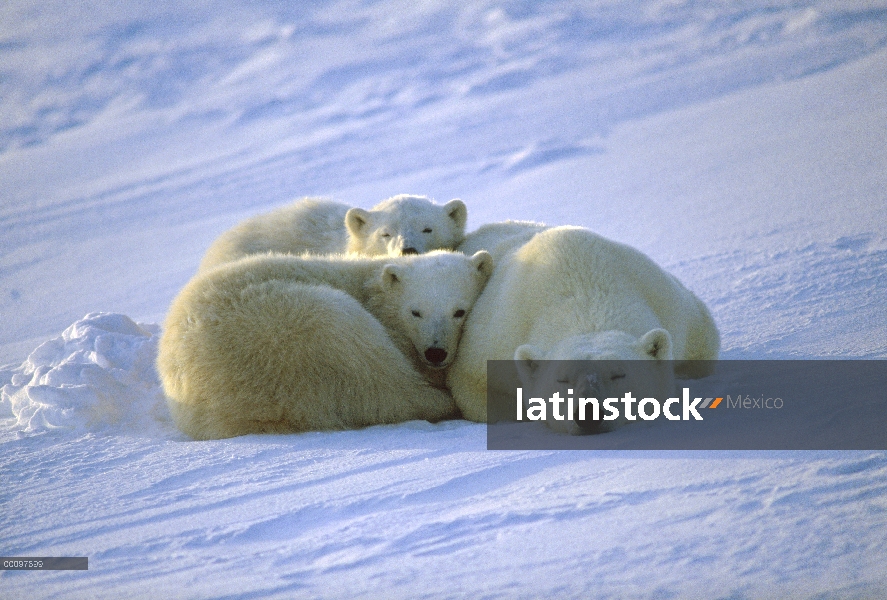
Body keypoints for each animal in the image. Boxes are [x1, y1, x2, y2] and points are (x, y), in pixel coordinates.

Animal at [450, 224, 720, 426]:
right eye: (562, 380)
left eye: (619, 374)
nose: (589, 413)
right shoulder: (497, 336)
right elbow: (476, 390)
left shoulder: (671, 306)